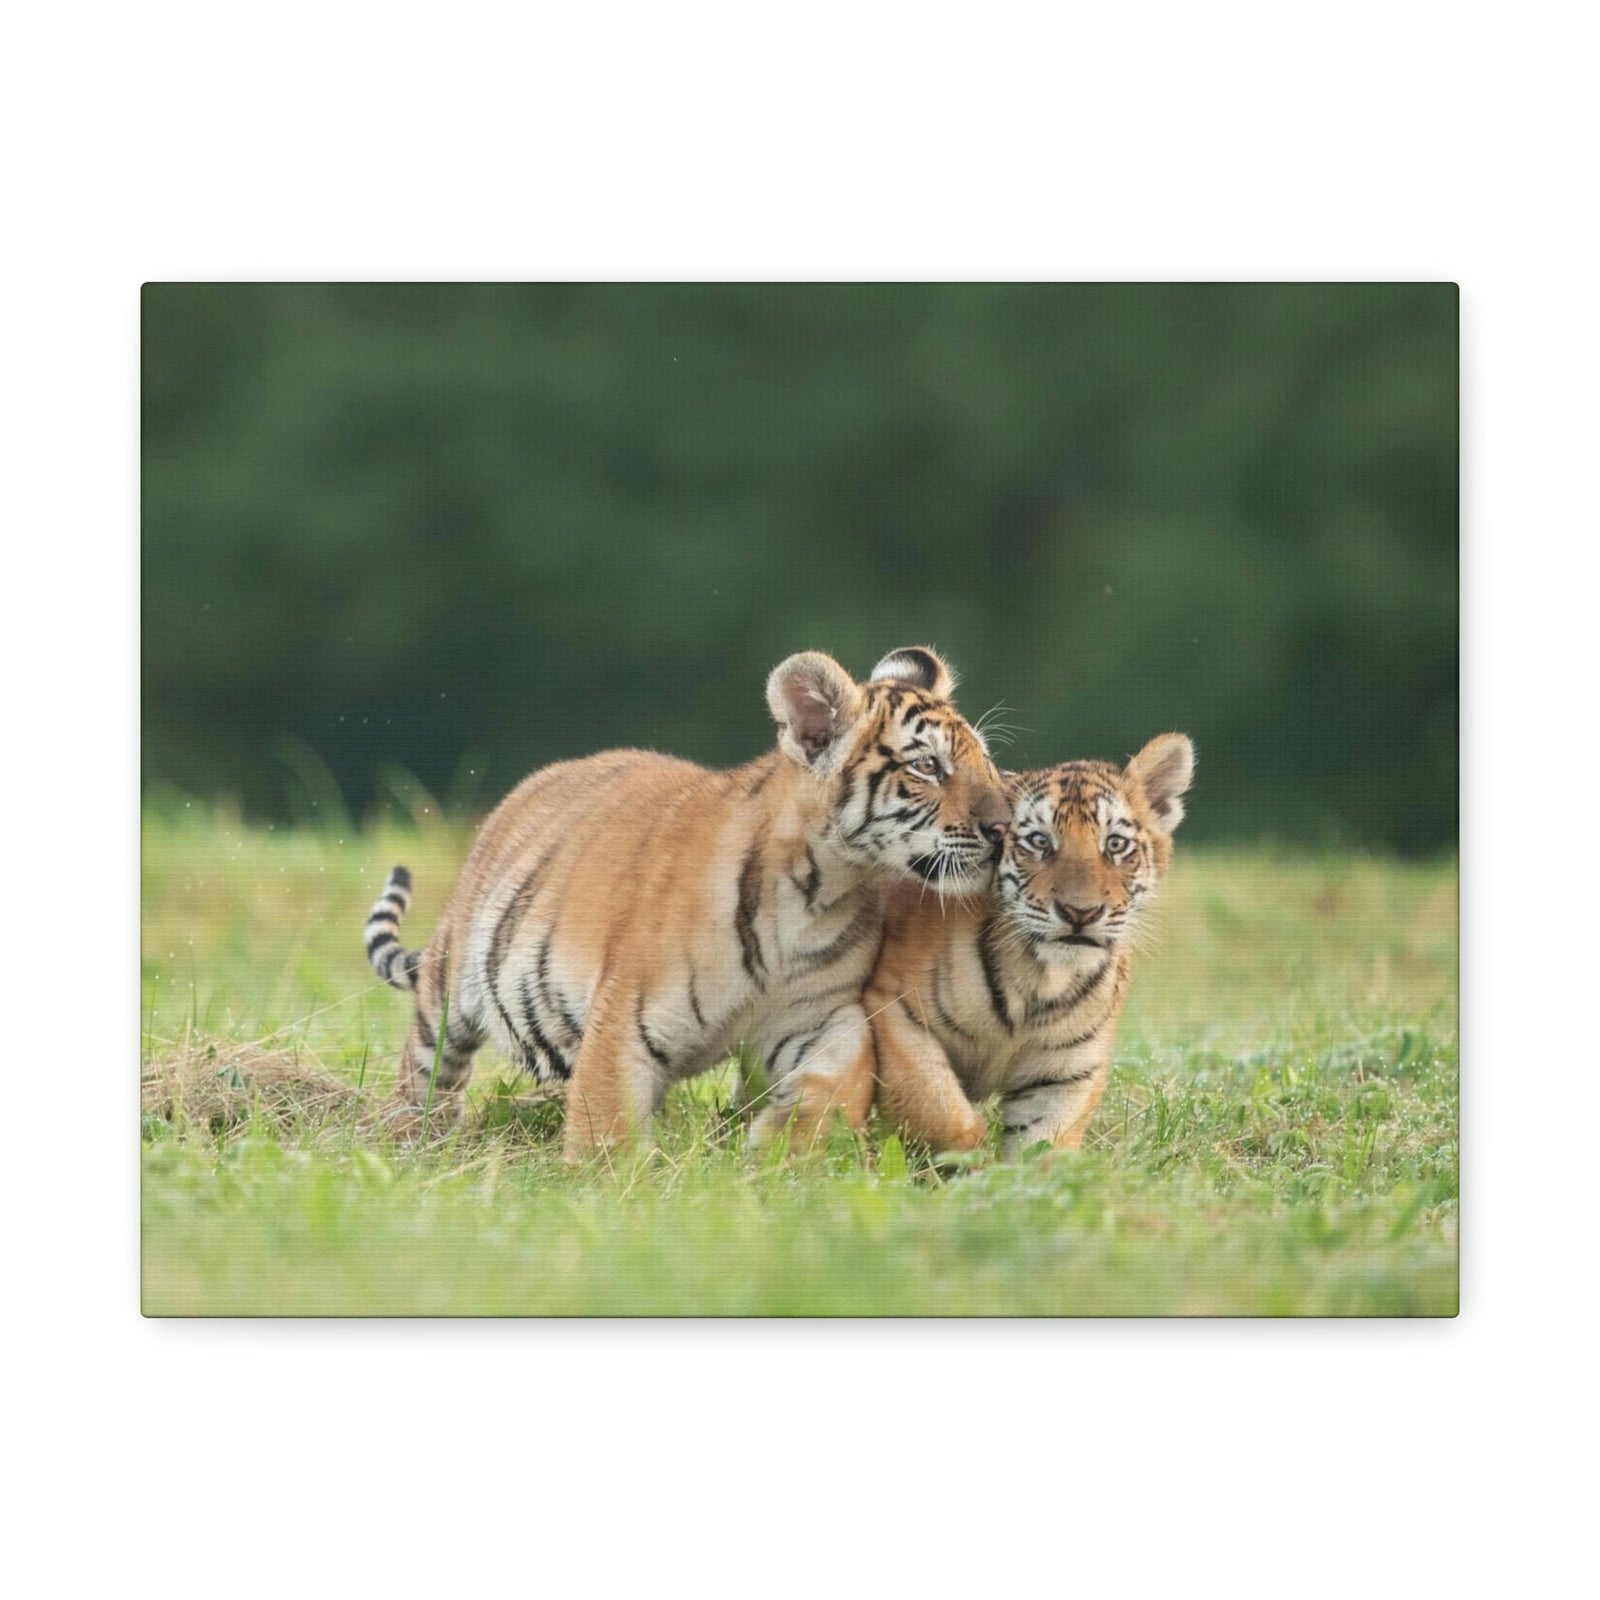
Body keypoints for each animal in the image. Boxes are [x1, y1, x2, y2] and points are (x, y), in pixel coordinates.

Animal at [362, 647, 1009, 1160]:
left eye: (986, 761)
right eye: (927, 766)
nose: (1004, 827)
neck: (820, 892)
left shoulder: (820, 1014)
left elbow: (844, 1076)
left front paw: (786, 1149)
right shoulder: (623, 1022)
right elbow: (608, 1130)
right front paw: (612, 1190)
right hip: (447, 999)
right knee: (425, 1076)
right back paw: (411, 1140)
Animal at [868, 733, 1194, 1157]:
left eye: (1115, 844)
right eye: (1039, 841)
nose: (1080, 912)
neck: (1040, 977)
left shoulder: (1066, 1073)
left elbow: (1042, 1150)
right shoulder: (896, 1012)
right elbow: (936, 1109)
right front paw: (970, 1160)